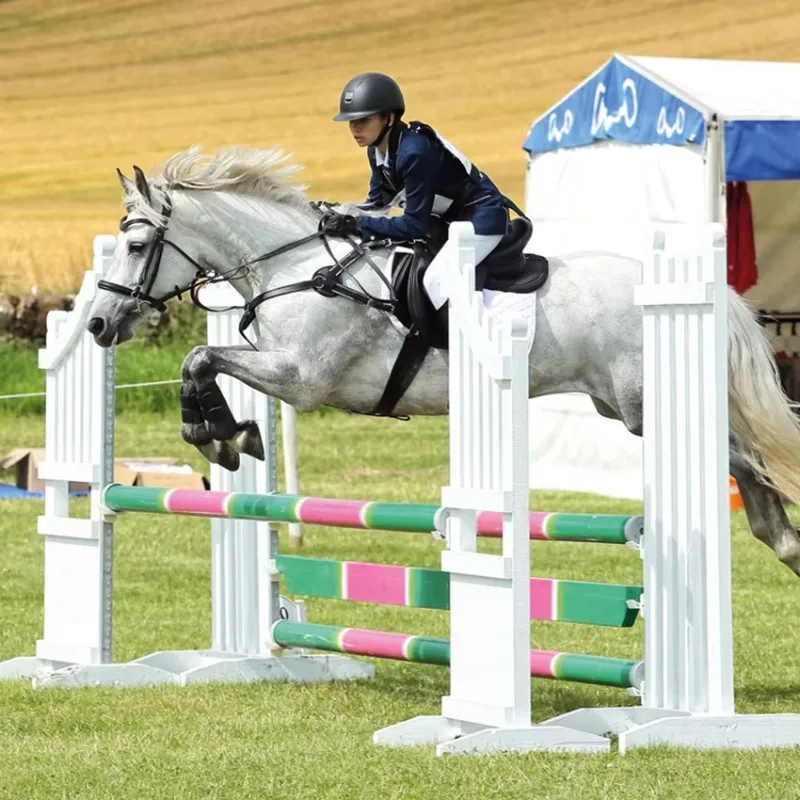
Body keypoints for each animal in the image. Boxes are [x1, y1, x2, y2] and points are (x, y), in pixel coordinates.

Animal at [85, 144, 800, 577]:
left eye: (138, 244)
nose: (96, 323)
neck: (294, 266)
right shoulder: (280, 366)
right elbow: (201, 360)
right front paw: (228, 434)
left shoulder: (303, 379)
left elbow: (200, 357)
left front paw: (222, 437)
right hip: (623, 406)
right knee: (744, 458)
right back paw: (781, 540)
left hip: (644, 407)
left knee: (744, 456)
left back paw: (784, 539)